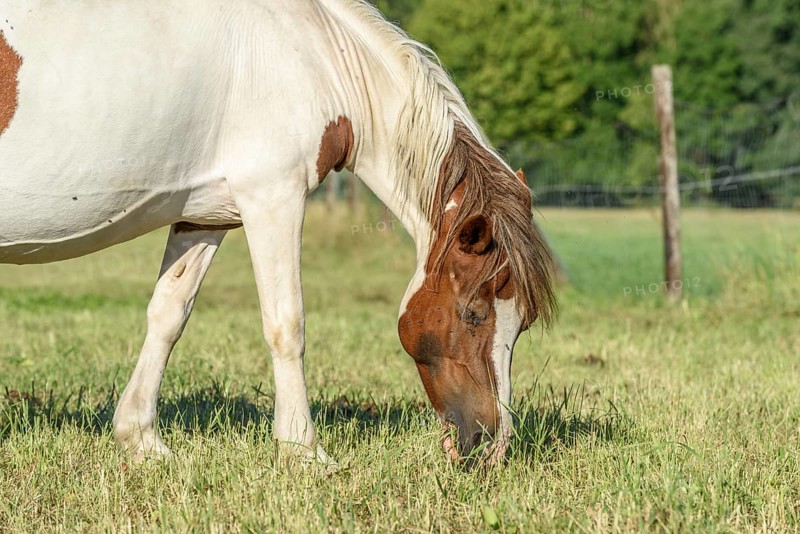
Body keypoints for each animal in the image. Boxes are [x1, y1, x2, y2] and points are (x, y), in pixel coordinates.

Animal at [0, 0, 556, 466]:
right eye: (474, 313)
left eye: (523, 324)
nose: (490, 446)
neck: (316, 55)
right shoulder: (273, 197)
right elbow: (286, 324)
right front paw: (304, 451)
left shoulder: (205, 216)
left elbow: (168, 316)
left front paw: (142, 440)